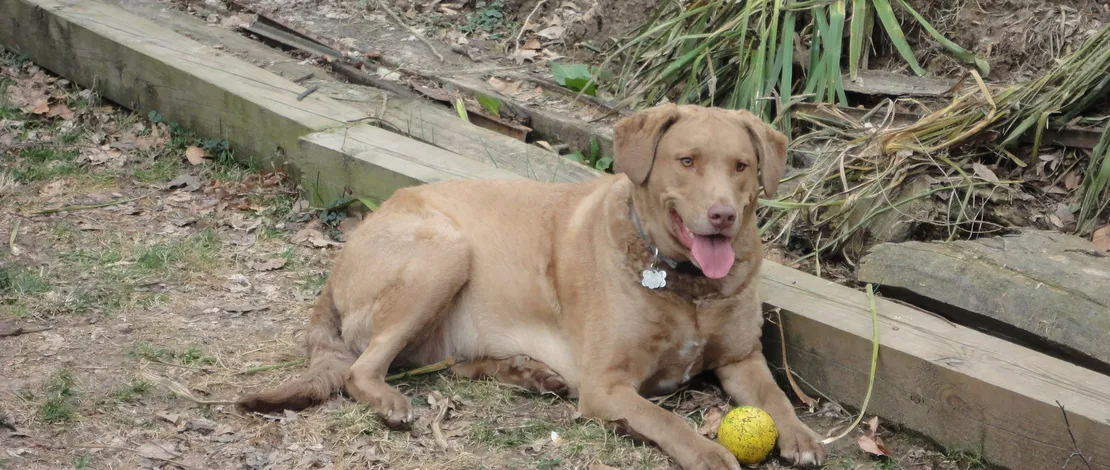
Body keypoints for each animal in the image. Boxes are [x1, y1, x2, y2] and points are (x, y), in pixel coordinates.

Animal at [238, 105, 825, 468]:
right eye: (687, 161)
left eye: (741, 165)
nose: (724, 215)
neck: (685, 283)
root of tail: (339, 263)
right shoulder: (607, 385)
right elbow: (665, 420)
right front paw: (707, 452)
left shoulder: (743, 358)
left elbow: (777, 398)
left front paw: (800, 435)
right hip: (445, 254)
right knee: (362, 370)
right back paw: (391, 400)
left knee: (444, 362)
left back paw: (526, 372)